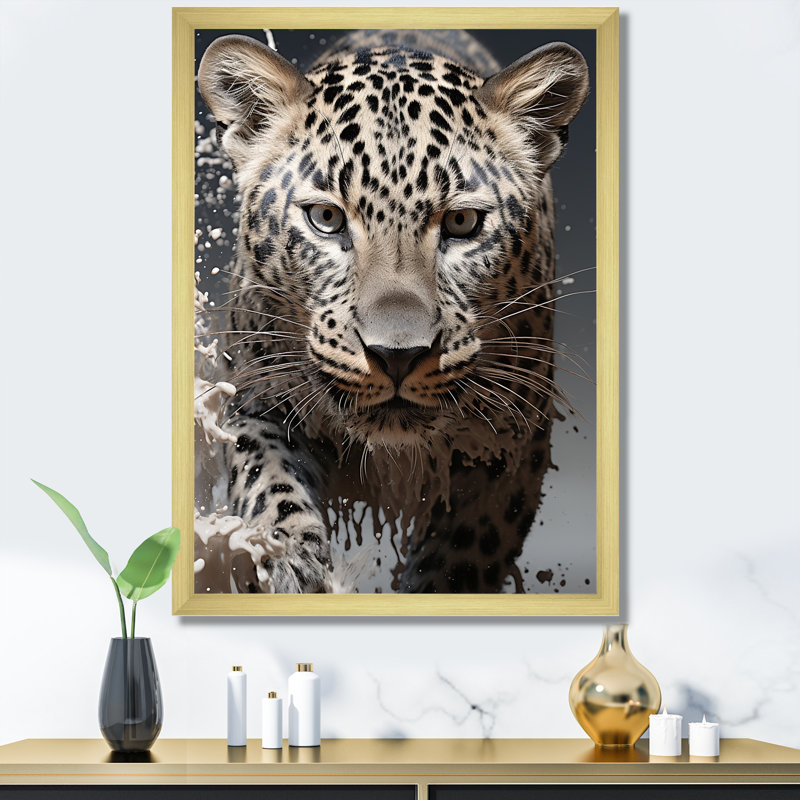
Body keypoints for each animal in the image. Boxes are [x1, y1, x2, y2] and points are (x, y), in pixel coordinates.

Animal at [196, 29, 589, 594]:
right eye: (326, 218)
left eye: (463, 223)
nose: (397, 356)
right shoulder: (257, 398)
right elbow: (265, 478)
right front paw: (289, 559)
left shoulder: (508, 448)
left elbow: (460, 562)